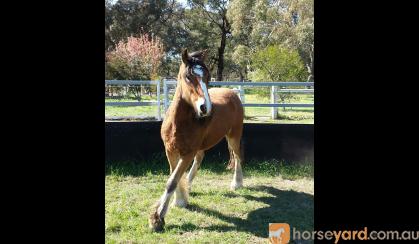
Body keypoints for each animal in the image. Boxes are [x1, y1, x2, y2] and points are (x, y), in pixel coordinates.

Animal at [149, 48, 244, 232]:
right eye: (188, 76)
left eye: (207, 76)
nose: (205, 108)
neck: (179, 122)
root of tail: (233, 93)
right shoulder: (170, 151)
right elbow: (174, 176)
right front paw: (180, 200)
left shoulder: (187, 153)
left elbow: (172, 180)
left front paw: (158, 218)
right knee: (200, 159)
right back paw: (189, 185)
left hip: (234, 136)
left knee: (237, 156)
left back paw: (237, 184)